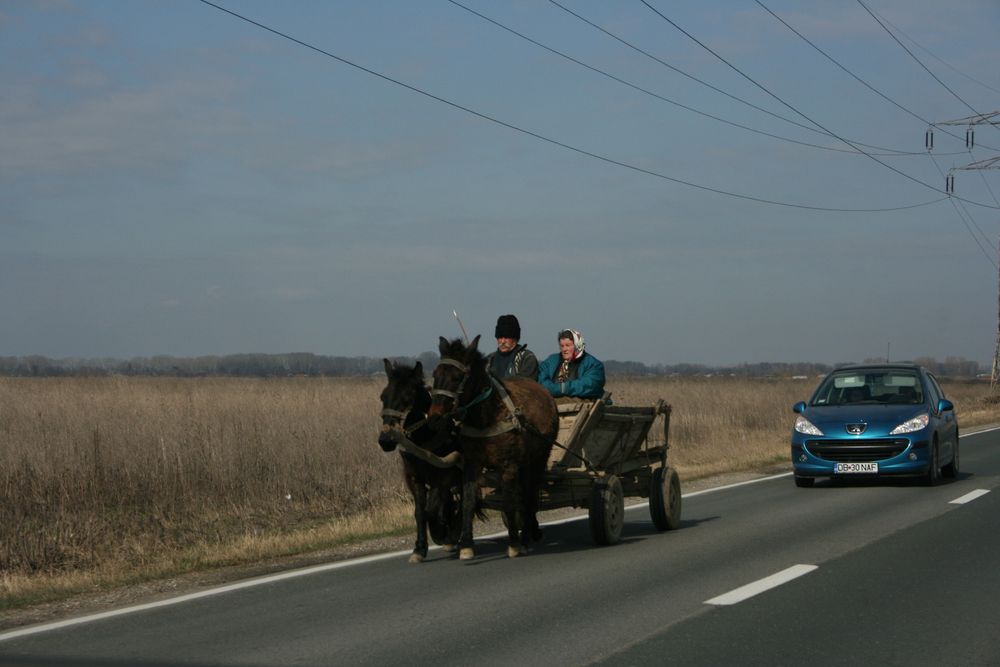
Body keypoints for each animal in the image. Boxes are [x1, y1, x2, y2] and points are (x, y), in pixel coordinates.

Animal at [378, 360, 464, 564]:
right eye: (383, 396)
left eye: (408, 397)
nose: (385, 440)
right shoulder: (414, 478)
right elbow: (419, 512)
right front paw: (419, 548)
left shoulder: (445, 476)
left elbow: (430, 509)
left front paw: (441, 533)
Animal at [426, 336, 560, 560]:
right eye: (436, 374)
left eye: (457, 377)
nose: (435, 417)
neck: (487, 416)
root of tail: (545, 395)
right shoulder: (472, 465)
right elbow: (468, 501)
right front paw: (466, 545)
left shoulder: (508, 466)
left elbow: (508, 502)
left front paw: (514, 544)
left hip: (537, 459)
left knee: (530, 496)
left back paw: (526, 539)